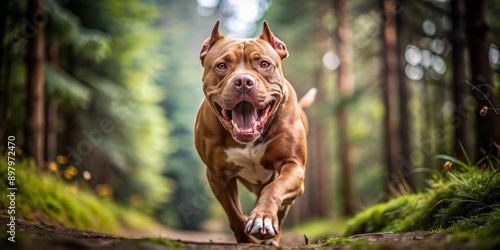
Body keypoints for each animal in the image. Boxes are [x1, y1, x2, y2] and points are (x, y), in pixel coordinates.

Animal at [193, 20, 314, 246]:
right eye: (221, 65)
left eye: (264, 64)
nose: (243, 81)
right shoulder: (217, 174)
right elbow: (233, 212)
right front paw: (246, 237)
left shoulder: (293, 166)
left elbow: (274, 189)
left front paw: (263, 218)